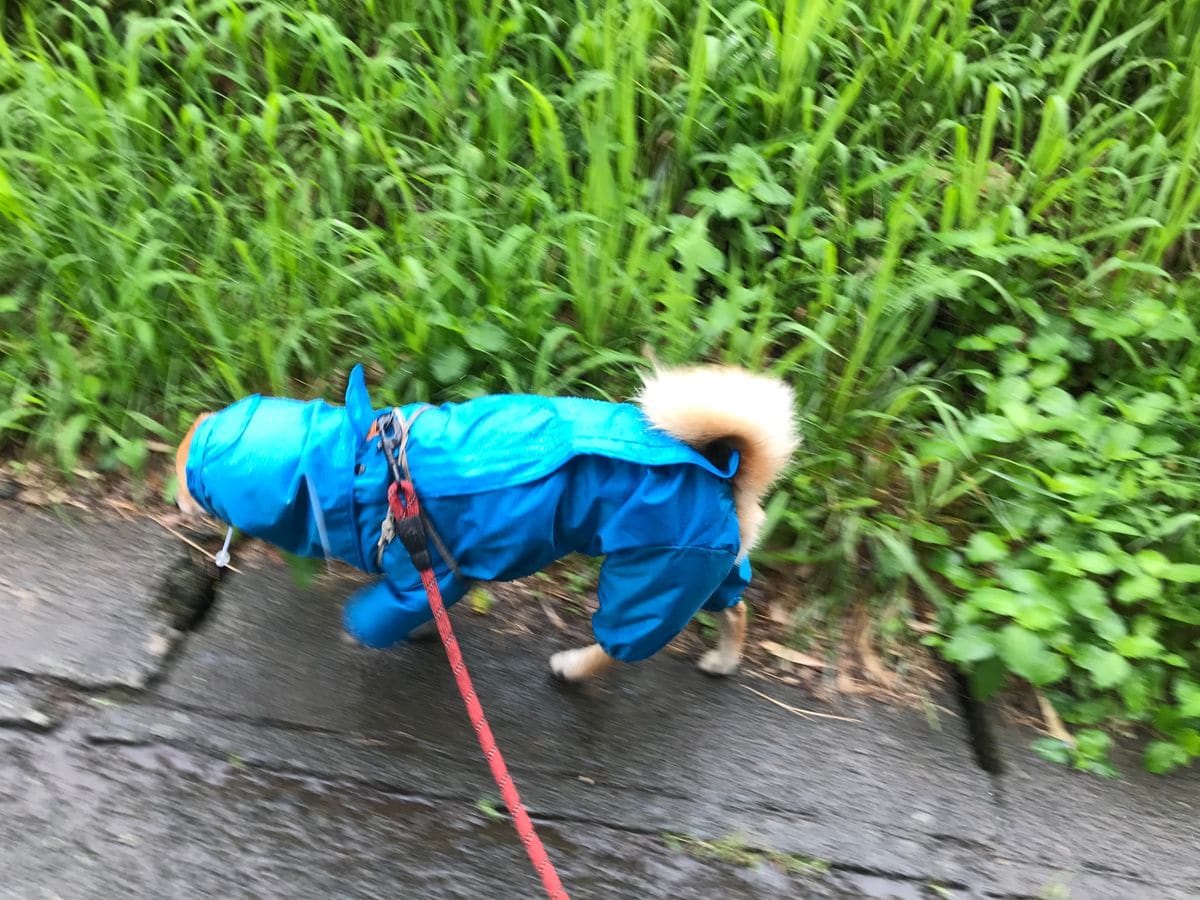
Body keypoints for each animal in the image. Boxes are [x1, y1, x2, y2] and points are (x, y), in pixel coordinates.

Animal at [174, 362, 796, 681]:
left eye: (186, 478)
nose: (175, 500)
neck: (357, 464)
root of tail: (726, 471)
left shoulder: (428, 571)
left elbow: (383, 613)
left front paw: (365, 633)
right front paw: (423, 631)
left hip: (650, 576)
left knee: (619, 643)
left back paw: (574, 667)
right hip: (703, 570)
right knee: (735, 609)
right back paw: (724, 659)